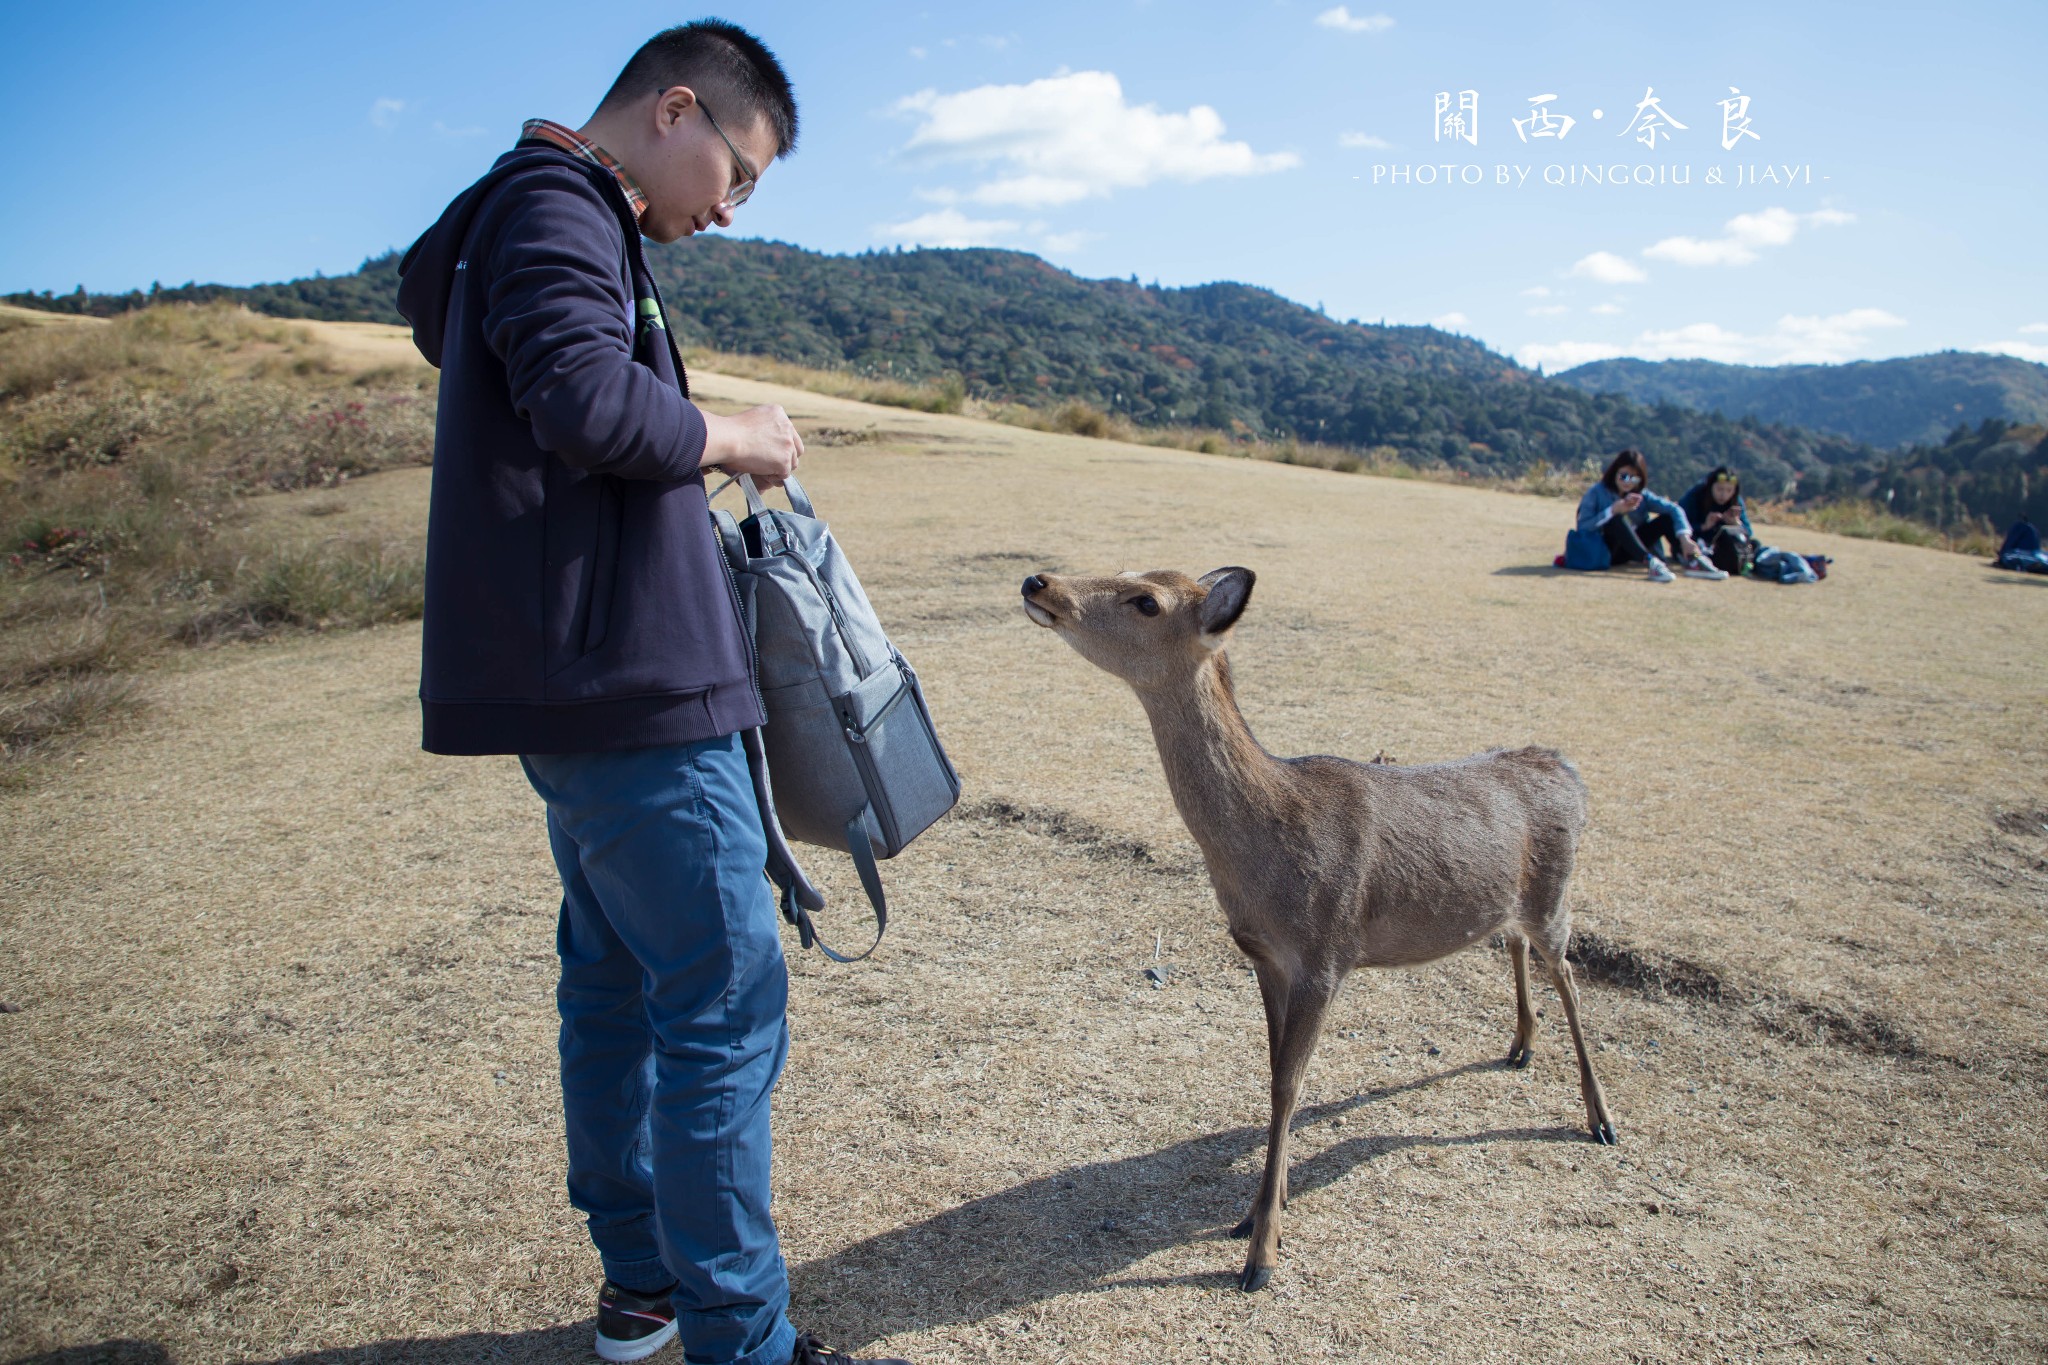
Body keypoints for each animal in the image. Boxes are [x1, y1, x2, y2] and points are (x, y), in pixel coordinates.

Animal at [1019, 564, 1613, 1293]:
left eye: (1146, 600)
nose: (1038, 580)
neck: (1269, 853)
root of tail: (1570, 771)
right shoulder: (1265, 957)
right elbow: (1275, 1076)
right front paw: (1251, 1216)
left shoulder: (1325, 954)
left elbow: (1288, 1087)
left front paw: (1260, 1254)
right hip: (1515, 903)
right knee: (1514, 942)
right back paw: (1520, 1046)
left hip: (1556, 892)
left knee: (1572, 978)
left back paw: (1600, 1119)